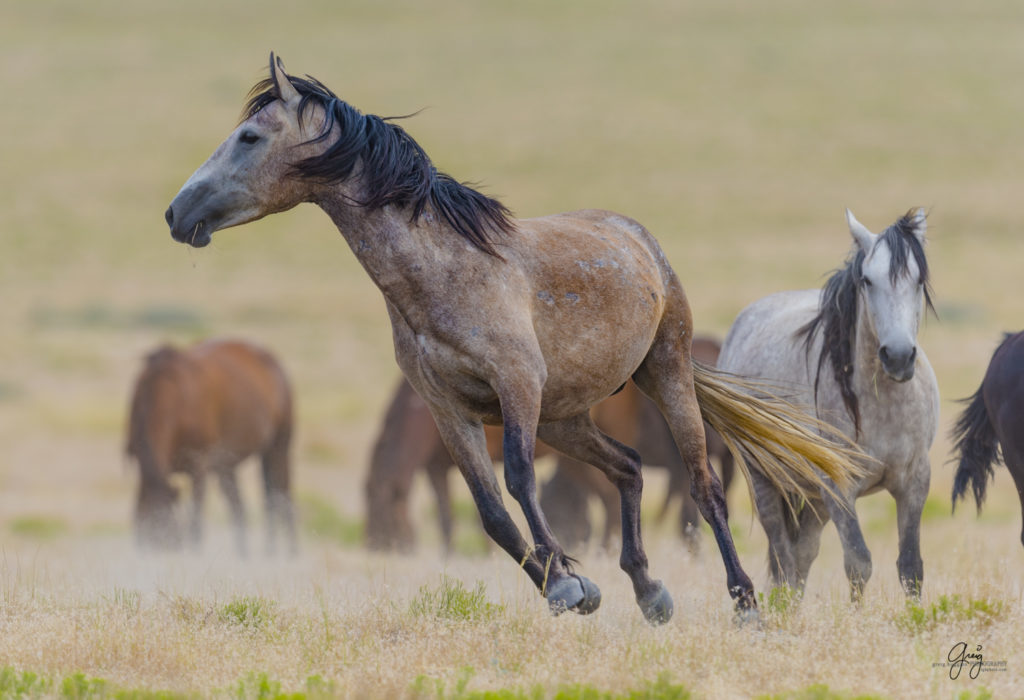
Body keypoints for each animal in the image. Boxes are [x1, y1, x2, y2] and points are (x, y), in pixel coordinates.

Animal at [125, 339, 296, 556]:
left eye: (171, 538)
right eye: (143, 534)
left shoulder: (198, 467)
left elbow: (196, 522)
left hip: (279, 448)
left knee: (282, 500)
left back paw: (287, 554)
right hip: (227, 466)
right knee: (242, 508)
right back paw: (248, 555)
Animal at [364, 337, 733, 552]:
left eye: (379, 514)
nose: (379, 547)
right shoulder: (437, 467)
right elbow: (447, 515)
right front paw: (453, 552)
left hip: (578, 457)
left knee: (610, 498)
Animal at [720, 210, 937, 597]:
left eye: (918, 279)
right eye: (867, 280)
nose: (898, 357)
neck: (882, 405)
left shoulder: (915, 481)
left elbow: (911, 567)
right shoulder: (838, 487)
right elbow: (858, 563)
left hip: (813, 498)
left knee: (801, 557)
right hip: (765, 481)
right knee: (784, 560)